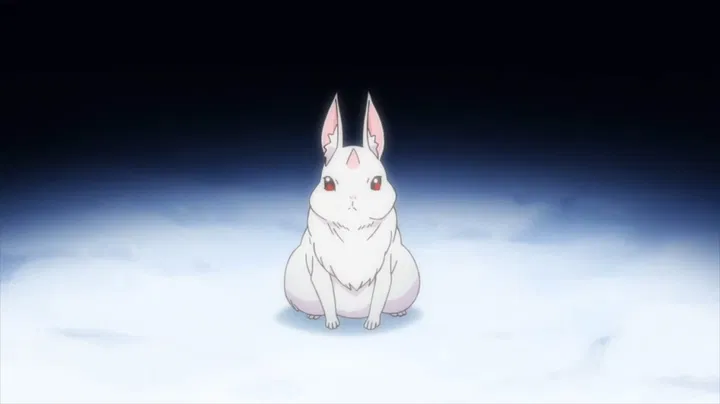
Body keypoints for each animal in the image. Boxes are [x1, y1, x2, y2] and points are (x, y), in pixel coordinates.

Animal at [283, 93, 421, 331]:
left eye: (377, 182)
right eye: (328, 183)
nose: (353, 199)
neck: (353, 230)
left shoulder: (385, 267)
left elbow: (379, 296)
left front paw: (372, 323)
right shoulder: (318, 267)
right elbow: (327, 297)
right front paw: (331, 323)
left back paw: (398, 312)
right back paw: (314, 316)